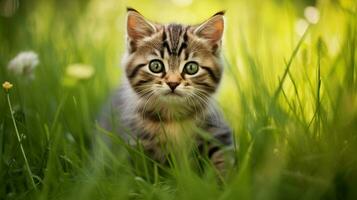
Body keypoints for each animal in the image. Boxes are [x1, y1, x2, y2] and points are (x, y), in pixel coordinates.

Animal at [100, 8, 234, 172]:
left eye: (191, 68)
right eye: (156, 66)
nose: (173, 83)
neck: (172, 117)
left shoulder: (219, 132)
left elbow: (222, 159)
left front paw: (224, 177)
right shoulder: (134, 141)